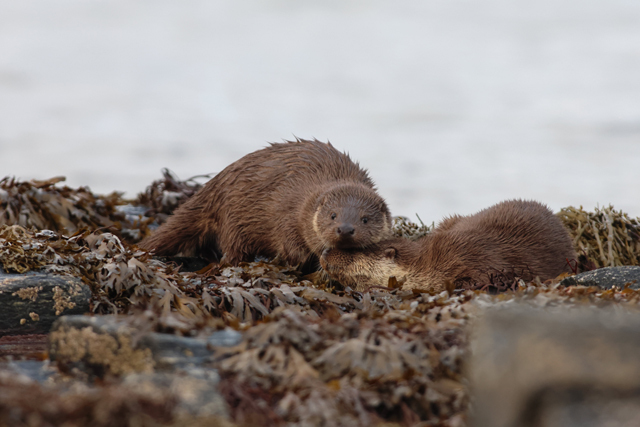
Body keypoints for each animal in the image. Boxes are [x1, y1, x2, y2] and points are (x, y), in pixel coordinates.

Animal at [138, 139, 392, 270]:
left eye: (364, 219)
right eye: (333, 215)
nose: (345, 229)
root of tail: (216, 185)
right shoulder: (286, 211)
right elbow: (289, 242)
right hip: (234, 219)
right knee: (232, 250)